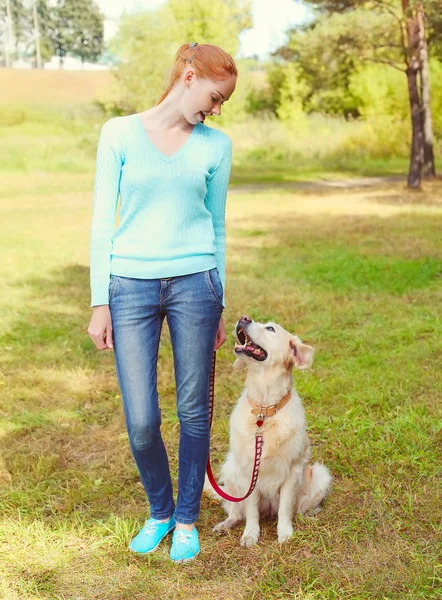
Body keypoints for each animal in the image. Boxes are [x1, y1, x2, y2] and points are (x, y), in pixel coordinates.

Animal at [205, 316, 330, 548]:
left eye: (270, 328)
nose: (244, 318)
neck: (265, 410)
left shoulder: (292, 470)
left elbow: (285, 510)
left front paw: (285, 533)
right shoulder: (247, 471)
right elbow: (251, 511)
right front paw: (250, 534)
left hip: (319, 474)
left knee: (299, 509)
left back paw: (309, 516)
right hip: (231, 469)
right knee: (236, 512)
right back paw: (225, 525)